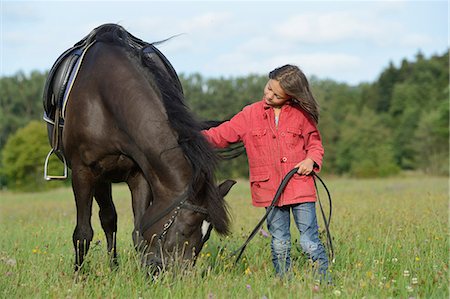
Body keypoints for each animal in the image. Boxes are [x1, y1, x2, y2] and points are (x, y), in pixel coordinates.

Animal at [43, 23, 236, 272]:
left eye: (206, 236)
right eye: (186, 229)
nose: (183, 275)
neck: (106, 97)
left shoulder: (140, 174)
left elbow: (139, 231)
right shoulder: (83, 172)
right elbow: (83, 233)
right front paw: (79, 276)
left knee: (109, 219)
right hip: (99, 177)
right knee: (106, 219)